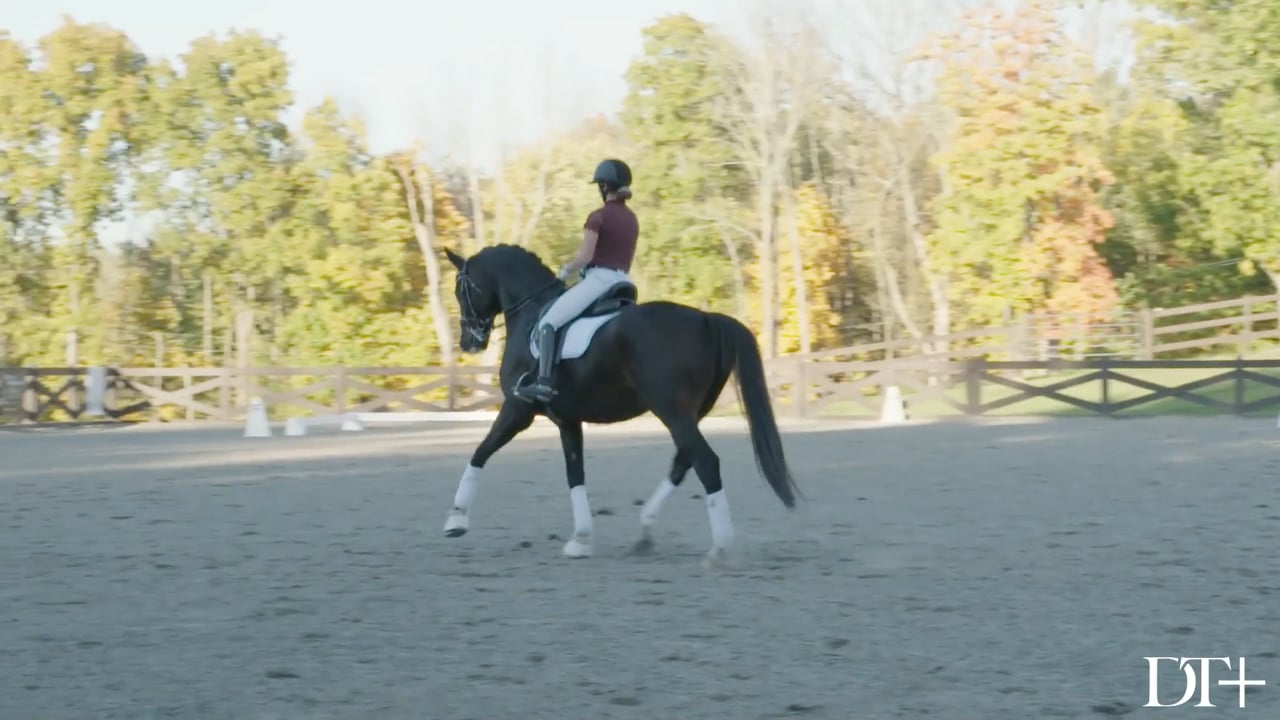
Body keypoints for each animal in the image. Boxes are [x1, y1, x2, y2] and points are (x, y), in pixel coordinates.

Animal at [440, 243, 799, 569]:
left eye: (460, 288)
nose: (469, 342)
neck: (531, 312)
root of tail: (706, 319)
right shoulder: (567, 420)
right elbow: (575, 474)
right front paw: (581, 541)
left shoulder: (518, 409)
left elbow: (480, 452)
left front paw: (456, 521)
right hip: (689, 414)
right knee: (683, 462)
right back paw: (645, 531)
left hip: (672, 412)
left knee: (705, 462)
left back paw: (719, 549)